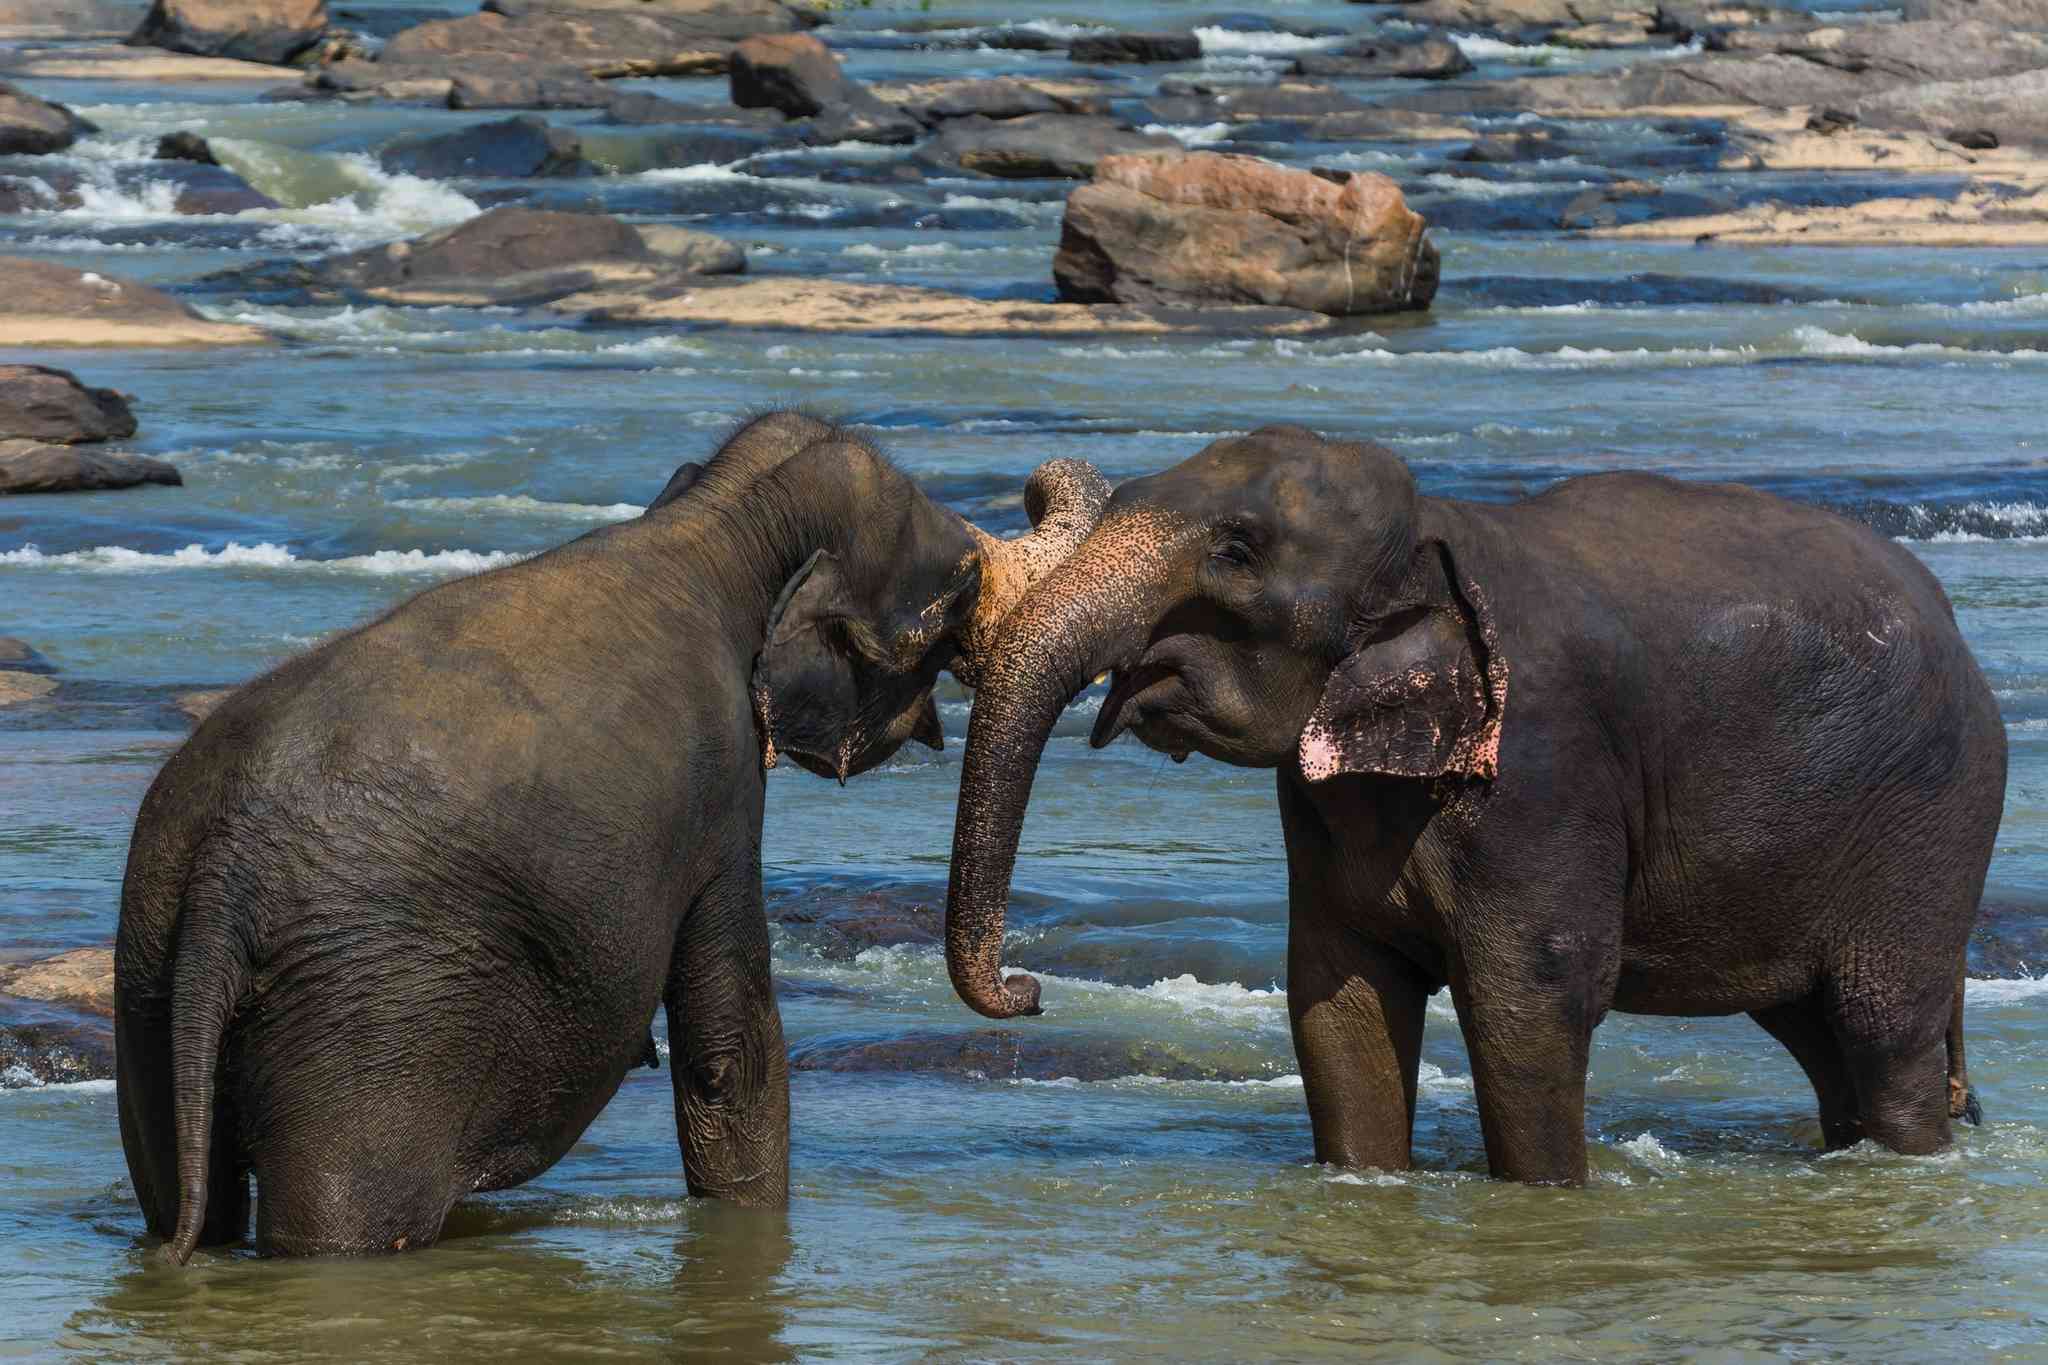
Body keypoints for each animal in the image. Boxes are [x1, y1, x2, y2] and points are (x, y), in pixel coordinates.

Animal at [116, 411, 1109, 1260]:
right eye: (963, 586)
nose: (1029, 990)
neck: (716, 522)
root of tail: (225, 871)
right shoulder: (719, 787)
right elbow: (728, 1046)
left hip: (154, 978)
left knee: (180, 1191)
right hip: (366, 1019)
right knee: (344, 1221)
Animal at [943, 425, 2004, 1185]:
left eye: (1238, 552)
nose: (1028, 990)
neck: (1438, 533)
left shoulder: (1543, 767)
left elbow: (1531, 994)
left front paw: (1544, 1197)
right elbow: (1340, 996)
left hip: (1932, 824)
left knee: (1882, 1028)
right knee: (1818, 1034)